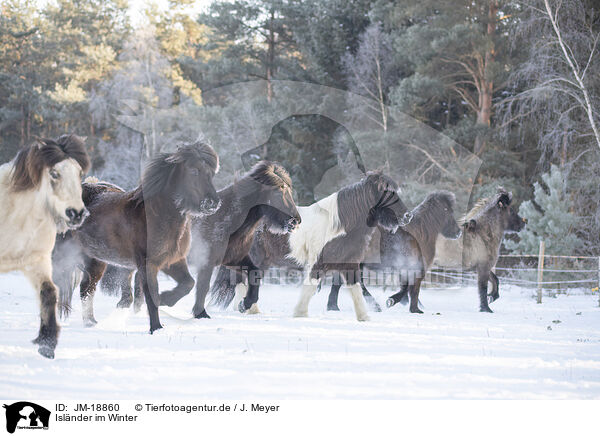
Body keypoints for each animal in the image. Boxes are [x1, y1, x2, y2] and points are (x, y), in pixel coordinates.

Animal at [0, 135, 89, 358]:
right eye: (54, 173)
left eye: (79, 173)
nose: (76, 213)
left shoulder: (36, 260)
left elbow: (49, 292)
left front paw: (47, 344)